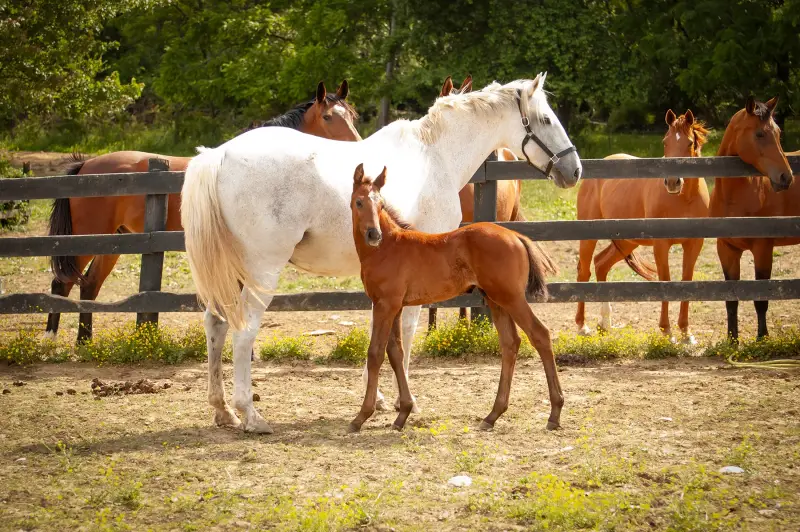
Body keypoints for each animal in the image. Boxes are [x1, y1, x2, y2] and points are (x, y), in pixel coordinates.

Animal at [46, 80, 359, 345]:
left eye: (351, 116)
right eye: (328, 117)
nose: (357, 147)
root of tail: (86, 165)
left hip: (113, 242)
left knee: (90, 285)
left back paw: (85, 341)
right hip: (86, 239)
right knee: (63, 283)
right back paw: (52, 338)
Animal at [348, 164, 561, 432]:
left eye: (381, 204)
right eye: (359, 202)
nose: (374, 234)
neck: (387, 248)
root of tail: (515, 236)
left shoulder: (385, 305)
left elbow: (375, 354)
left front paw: (362, 416)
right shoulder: (394, 306)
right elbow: (395, 353)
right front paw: (403, 413)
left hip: (512, 298)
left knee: (540, 335)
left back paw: (554, 413)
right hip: (496, 300)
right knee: (510, 343)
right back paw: (493, 415)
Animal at [575, 110, 710, 343]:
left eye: (690, 142)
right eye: (665, 142)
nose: (672, 182)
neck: (684, 198)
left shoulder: (694, 244)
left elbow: (687, 280)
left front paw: (686, 333)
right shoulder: (661, 245)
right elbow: (665, 280)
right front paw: (667, 331)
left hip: (627, 241)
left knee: (601, 264)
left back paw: (605, 323)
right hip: (589, 236)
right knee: (584, 271)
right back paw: (583, 326)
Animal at [709, 96, 795, 340]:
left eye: (778, 133)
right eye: (759, 134)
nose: (786, 177)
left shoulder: (763, 248)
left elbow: (761, 299)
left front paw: (762, 338)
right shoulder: (727, 249)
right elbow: (731, 299)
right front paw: (732, 340)